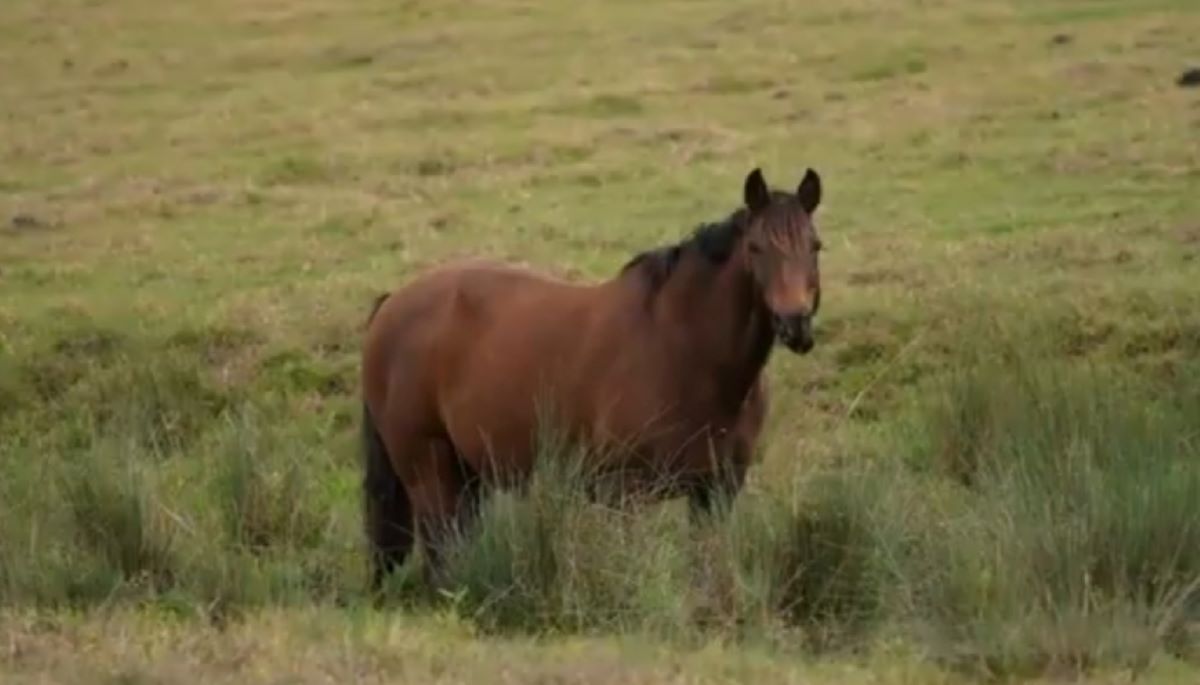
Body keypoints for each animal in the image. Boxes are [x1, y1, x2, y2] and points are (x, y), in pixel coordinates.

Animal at [357, 167, 825, 590]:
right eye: (756, 247)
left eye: (815, 246)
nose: (796, 324)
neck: (685, 350)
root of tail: (392, 305)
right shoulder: (624, 493)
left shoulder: (716, 491)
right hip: (428, 470)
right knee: (441, 551)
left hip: (467, 474)